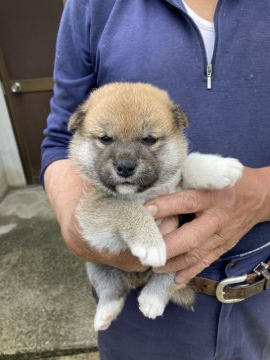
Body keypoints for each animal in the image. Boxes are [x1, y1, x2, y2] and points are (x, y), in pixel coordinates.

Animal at [68, 82, 245, 332]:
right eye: (105, 139)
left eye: (149, 140)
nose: (125, 167)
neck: (142, 194)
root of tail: (138, 278)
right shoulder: (93, 212)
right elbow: (127, 208)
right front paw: (151, 243)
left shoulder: (176, 190)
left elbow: (186, 164)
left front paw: (220, 168)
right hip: (96, 262)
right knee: (112, 289)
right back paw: (106, 313)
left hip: (184, 254)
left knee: (166, 277)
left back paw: (153, 298)